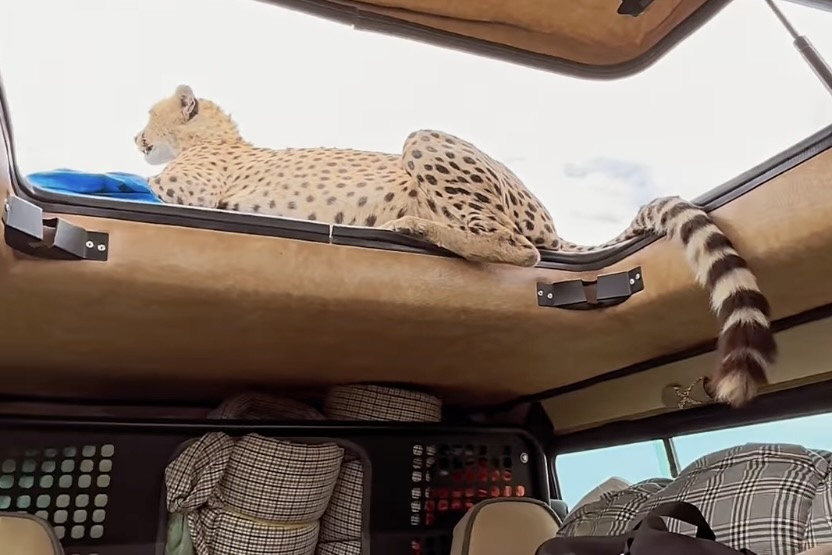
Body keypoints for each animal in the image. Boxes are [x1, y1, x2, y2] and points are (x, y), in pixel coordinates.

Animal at [135, 84, 776, 408]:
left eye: (148, 117)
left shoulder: (192, 189)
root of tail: (547, 220)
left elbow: (151, 184)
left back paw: (417, 227)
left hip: (430, 144)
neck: (213, 138)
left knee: (520, 250)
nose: (137, 138)